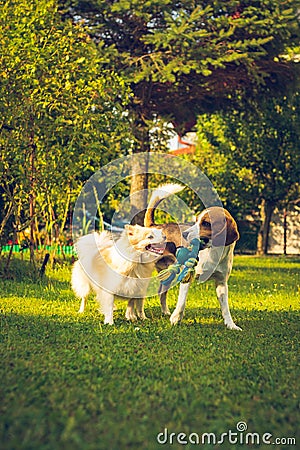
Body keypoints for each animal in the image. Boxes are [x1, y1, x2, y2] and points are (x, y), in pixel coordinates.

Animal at [144, 184, 241, 330]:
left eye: (206, 223)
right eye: (195, 221)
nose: (184, 234)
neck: (213, 252)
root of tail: (155, 226)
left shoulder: (222, 283)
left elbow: (225, 308)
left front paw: (231, 325)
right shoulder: (187, 275)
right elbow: (182, 302)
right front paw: (176, 318)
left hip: (169, 274)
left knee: (161, 292)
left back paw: (165, 312)